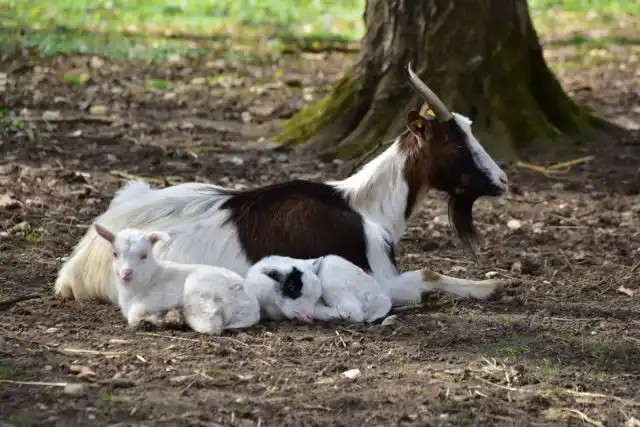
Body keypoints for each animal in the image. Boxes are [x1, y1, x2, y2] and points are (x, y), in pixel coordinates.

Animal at [54, 62, 509, 310]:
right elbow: (429, 275)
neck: (364, 206)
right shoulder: (375, 280)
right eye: (456, 142)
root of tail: (76, 265)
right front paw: (490, 286)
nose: (503, 180)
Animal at [94, 224, 260, 334]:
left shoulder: (161, 296)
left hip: (200, 291)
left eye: (144, 255)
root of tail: (251, 309)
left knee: (212, 326)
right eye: (115, 254)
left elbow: (134, 316)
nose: (126, 273)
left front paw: (155, 319)